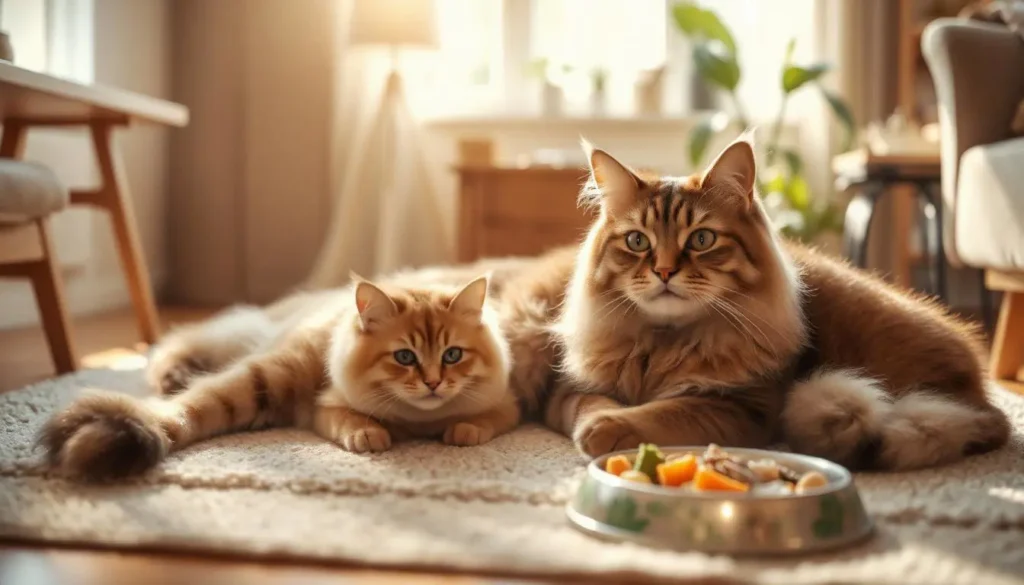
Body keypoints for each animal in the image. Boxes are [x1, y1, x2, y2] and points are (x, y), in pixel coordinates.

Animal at [39, 276, 520, 483]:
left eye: (453, 355)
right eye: (405, 357)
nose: (434, 383)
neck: (419, 421)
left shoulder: (506, 406)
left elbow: (484, 422)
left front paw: (463, 431)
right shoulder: (326, 407)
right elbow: (351, 421)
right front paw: (371, 436)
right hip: (265, 378)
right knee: (186, 393)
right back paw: (172, 382)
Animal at [544, 137, 1007, 471]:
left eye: (702, 239)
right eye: (638, 242)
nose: (664, 272)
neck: (665, 342)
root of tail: (981, 391)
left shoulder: (742, 407)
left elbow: (665, 411)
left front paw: (609, 429)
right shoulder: (568, 391)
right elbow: (592, 403)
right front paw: (598, 425)